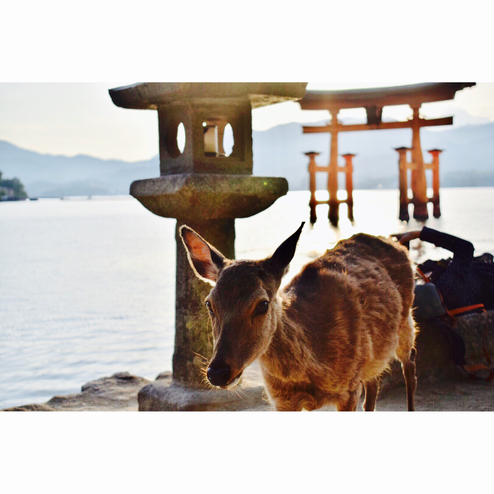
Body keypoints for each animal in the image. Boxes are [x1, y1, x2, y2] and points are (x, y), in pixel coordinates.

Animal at [181, 222, 416, 412]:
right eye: (209, 304)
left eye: (262, 304)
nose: (217, 372)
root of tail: (396, 242)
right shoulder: (282, 401)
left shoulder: (349, 390)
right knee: (374, 382)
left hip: (407, 323)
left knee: (410, 366)